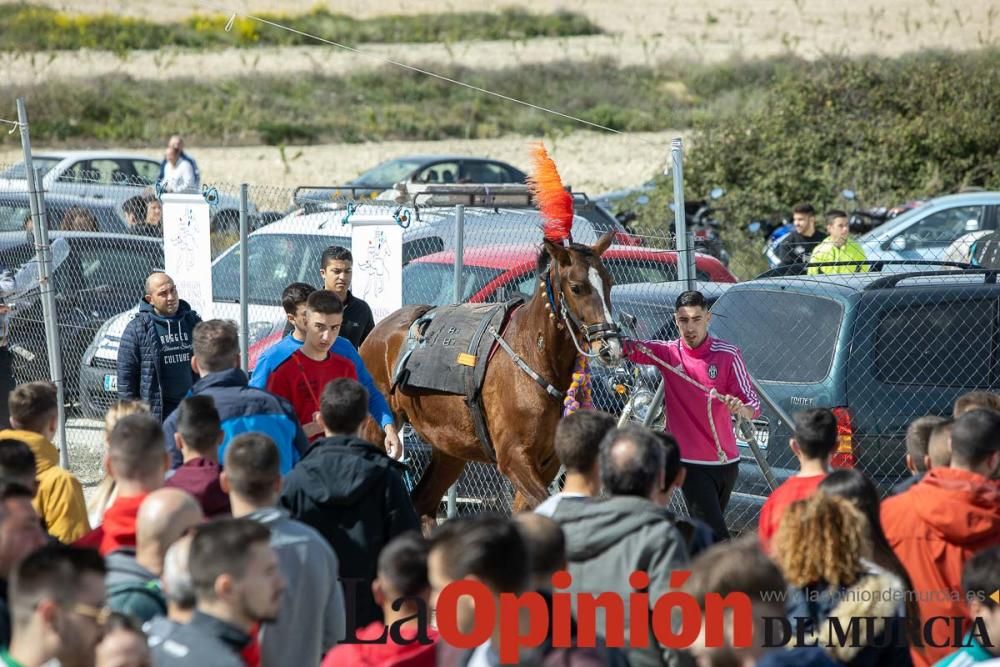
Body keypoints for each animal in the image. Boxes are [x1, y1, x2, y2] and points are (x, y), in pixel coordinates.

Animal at [360, 232, 624, 520]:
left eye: (609, 283)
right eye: (576, 287)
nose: (610, 347)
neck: (533, 355)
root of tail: (378, 332)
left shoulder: (547, 463)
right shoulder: (513, 457)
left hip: (450, 447)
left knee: (423, 501)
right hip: (374, 426)